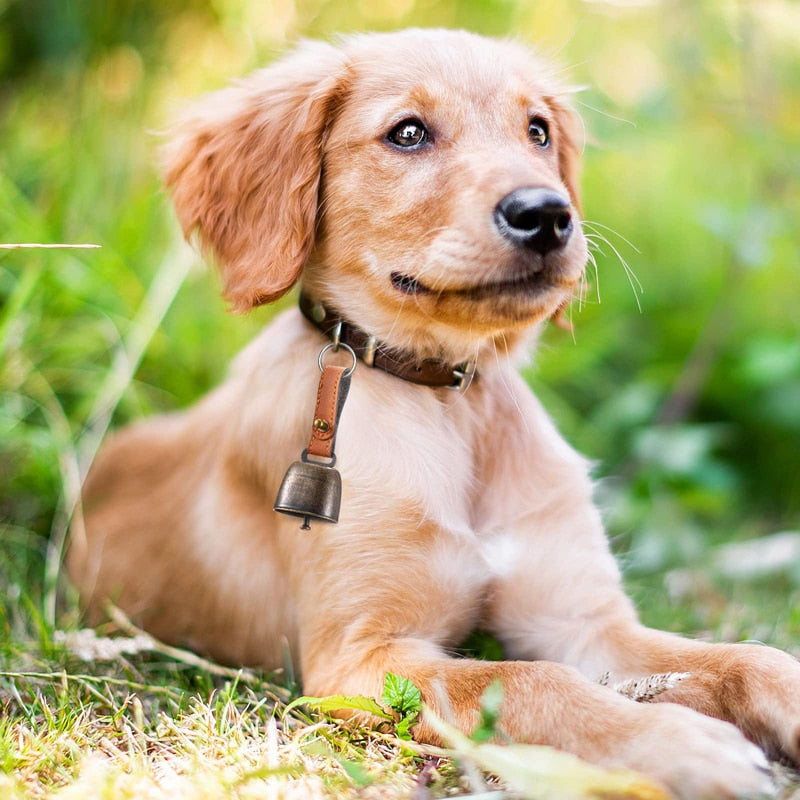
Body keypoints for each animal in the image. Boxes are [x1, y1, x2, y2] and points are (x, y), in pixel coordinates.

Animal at [69, 28, 800, 796]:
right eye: (408, 133)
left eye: (537, 131)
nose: (547, 214)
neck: (450, 403)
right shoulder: (358, 656)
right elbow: (533, 679)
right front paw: (682, 743)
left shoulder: (586, 623)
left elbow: (747, 655)